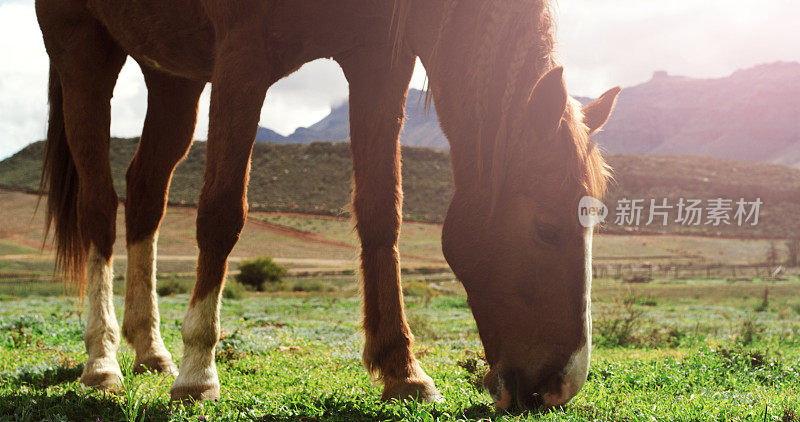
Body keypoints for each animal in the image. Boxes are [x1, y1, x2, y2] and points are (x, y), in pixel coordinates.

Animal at [36, 0, 620, 410]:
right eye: (546, 228)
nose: (561, 385)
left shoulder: (380, 61)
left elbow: (382, 211)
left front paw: (403, 371)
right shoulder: (242, 53)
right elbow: (222, 212)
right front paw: (198, 372)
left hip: (173, 74)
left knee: (144, 193)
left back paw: (150, 348)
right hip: (83, 48)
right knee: (98, 206)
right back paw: (102, 360)